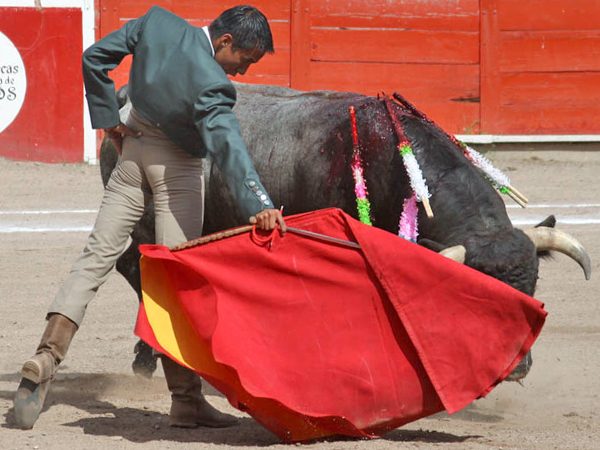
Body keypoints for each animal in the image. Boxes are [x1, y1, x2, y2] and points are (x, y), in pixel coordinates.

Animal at [99, 81, 592, 380]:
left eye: (533, 292)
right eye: (481, 303)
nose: (516, 368)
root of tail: (127, 100)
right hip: (146, 217)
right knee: (139, 268)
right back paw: (148, 359)